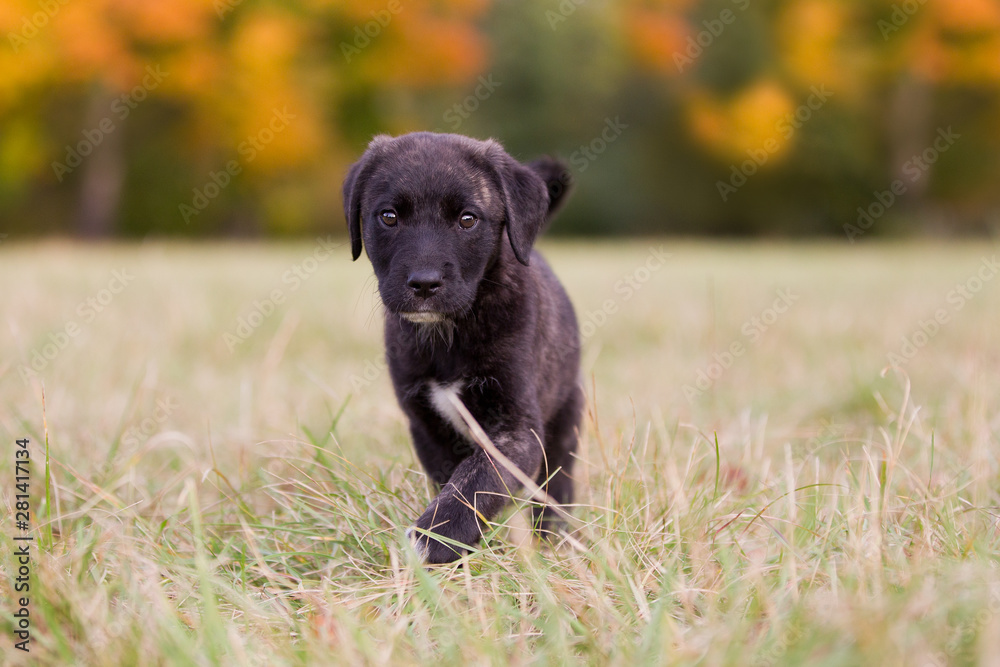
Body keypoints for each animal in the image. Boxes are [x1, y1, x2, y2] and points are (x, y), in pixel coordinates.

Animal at [344, 132, 584, 564]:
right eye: (389, 216)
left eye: (467, 219)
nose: (424, 283)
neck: (449, 335)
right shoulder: (426, 425)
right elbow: (452, 479)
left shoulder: (517, 429)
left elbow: (478, 480)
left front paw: (436, 538)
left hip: (565, 419)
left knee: (555, 490)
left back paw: (551, 541)